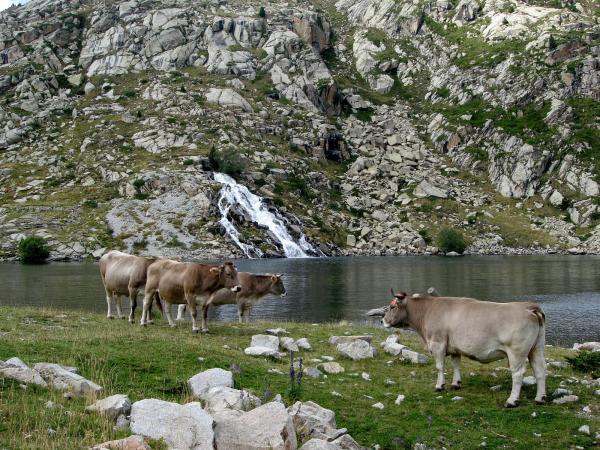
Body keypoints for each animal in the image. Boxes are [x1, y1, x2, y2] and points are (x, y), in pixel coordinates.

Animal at [382, 292, 548, 408]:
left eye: (392, 307)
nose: (382, 320)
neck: (428, 311)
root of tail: (529, 307)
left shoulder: (438, 343)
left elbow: (440, 366)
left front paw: (439, 386)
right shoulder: (454, 347)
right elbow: (456, 365)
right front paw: (456, 384)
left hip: (516, 352)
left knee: (518, 374)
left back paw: (511, 401)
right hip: (537, 348)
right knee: (540, 370)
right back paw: (540, 398)